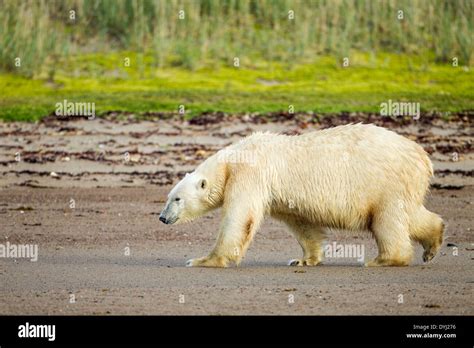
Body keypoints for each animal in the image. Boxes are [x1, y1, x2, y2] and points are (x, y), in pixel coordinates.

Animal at [159, 123, 444, 268]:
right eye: (169, 197)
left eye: (176, 199)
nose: (162, 217)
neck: (232, 161)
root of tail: (422, 156)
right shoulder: (279, 194)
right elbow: (301, 223)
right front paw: (304, 259)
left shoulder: (250, 173)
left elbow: (239, 218)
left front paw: (203, 260)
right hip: (403, 185)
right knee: (411, 214)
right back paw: (433, 243)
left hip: (384, 181)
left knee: (388, 219)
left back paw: (384, 260)